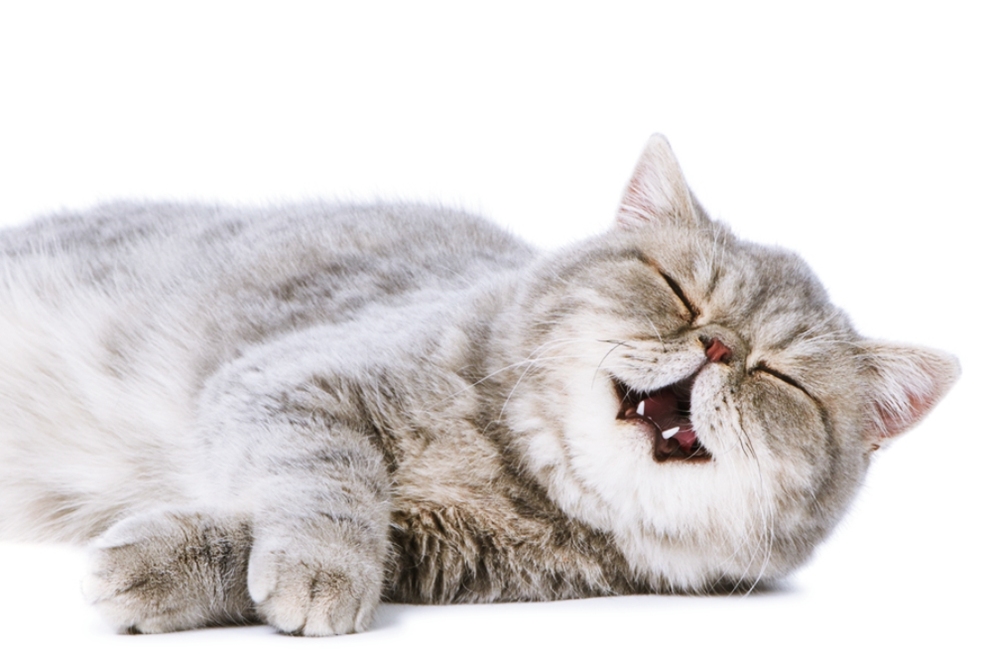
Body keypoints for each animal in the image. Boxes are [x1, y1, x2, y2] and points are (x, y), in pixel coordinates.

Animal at [0, 135, 958, 636]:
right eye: (678, 290)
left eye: (781, 377)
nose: (719, 345)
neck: (508, 469)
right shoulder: (290, 384)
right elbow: (332, 479)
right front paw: (315, 564)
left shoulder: (440, 552)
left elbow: (298, 533)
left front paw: (165, 566)